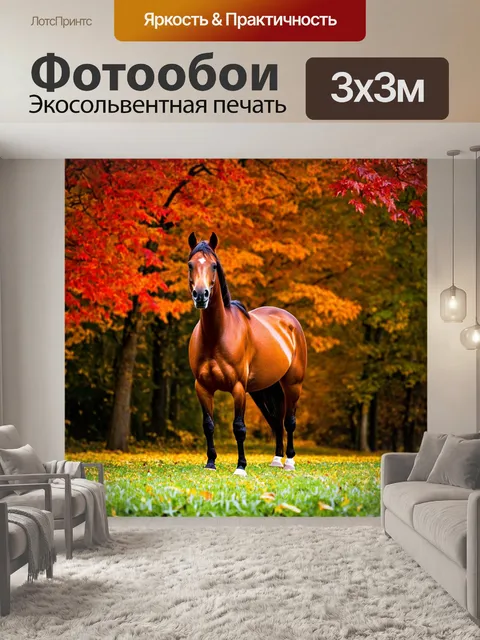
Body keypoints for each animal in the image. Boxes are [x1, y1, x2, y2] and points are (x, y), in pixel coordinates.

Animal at [187, 232, 307, 476]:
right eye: (190, 264)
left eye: (214, 265)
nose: (201, 295)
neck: (216, 334)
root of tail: (290, 321)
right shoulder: (202, 388)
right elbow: (208, 425)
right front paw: (210, 462)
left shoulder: (238, 388)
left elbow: (239, 427)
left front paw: (241, 466)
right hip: (264, 389)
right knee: (276, 420)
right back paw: (276, 459)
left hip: (292, 384)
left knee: (289, 421)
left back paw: (289, 462)